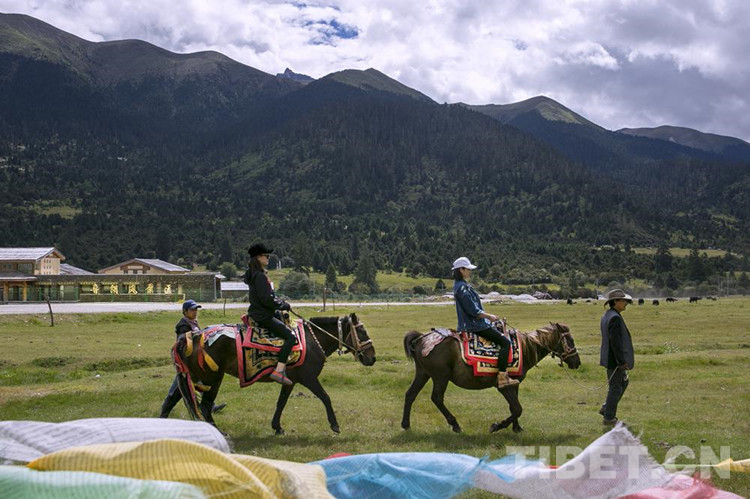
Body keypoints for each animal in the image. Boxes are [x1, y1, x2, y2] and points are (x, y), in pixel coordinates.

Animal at [174, 313, 376, 434]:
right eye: (362, 331)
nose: (372, 358)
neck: (311, 340)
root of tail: (194, 336)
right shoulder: (309, 378)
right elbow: (325, 397)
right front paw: (334, 424)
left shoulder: (290, 380)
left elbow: (281, 402)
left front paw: (277, 427)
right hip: (213, 378)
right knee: (205, 406)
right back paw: (218, 432)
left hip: (196, 376)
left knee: (185, 397)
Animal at [401, 323, 580, 434]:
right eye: (571, 340)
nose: (577, 362)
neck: (525, 347)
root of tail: (421, 338)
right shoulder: (503, 386)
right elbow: (517, 408)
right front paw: (497, 426)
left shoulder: (513, 384)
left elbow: (514, 407)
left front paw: (517, 428)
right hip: (440, 376)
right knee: (437, 398)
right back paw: (455, 425)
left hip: (423, 373)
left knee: (410, 394)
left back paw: (406, 425)